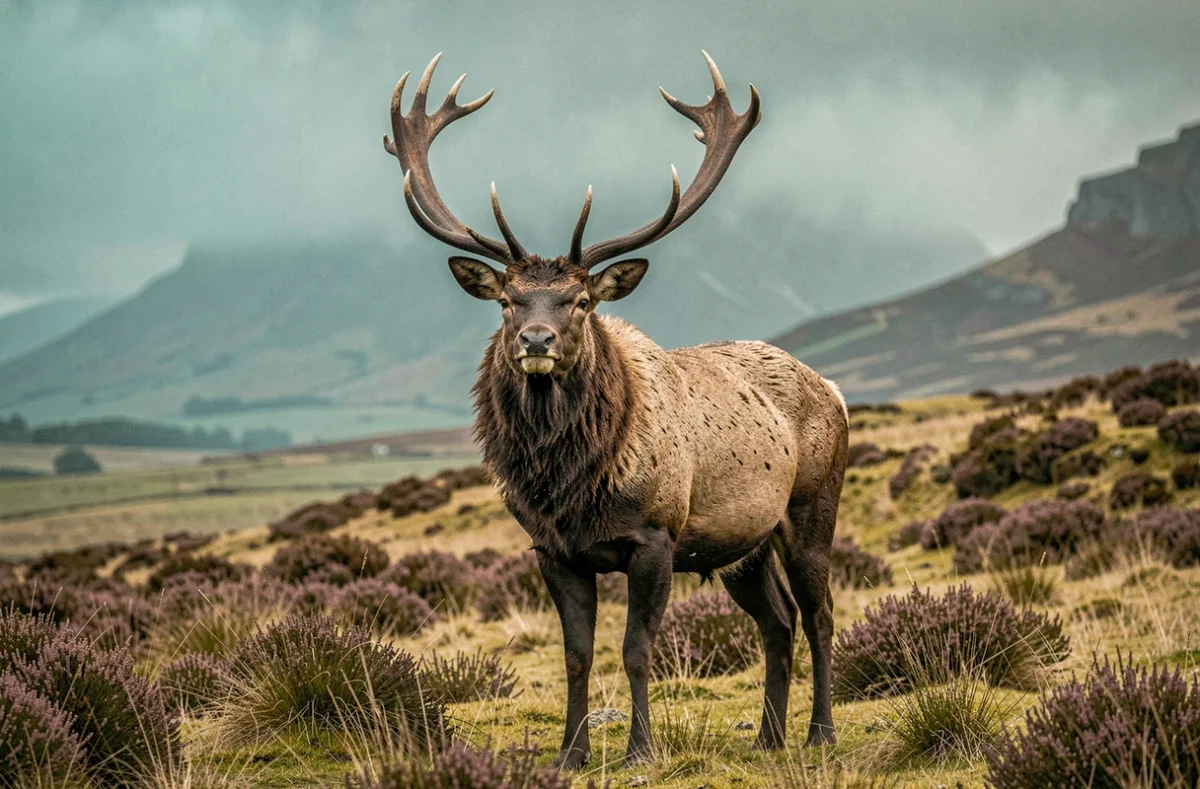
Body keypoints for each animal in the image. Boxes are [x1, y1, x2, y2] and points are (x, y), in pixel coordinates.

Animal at [383, 52, 849, 768]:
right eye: (508, 300)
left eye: (580, 301)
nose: (536, 342)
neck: (570, 486)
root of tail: (834, 389)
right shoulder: (552, 550)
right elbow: (576, 656)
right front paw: (569, 754)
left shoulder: (656, 535)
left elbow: (634, 650)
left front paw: (640, 751)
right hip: (743, 544)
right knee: (778, 620)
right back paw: (769, 736)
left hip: (810, 507)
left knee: (819, 612)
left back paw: (820, 730)